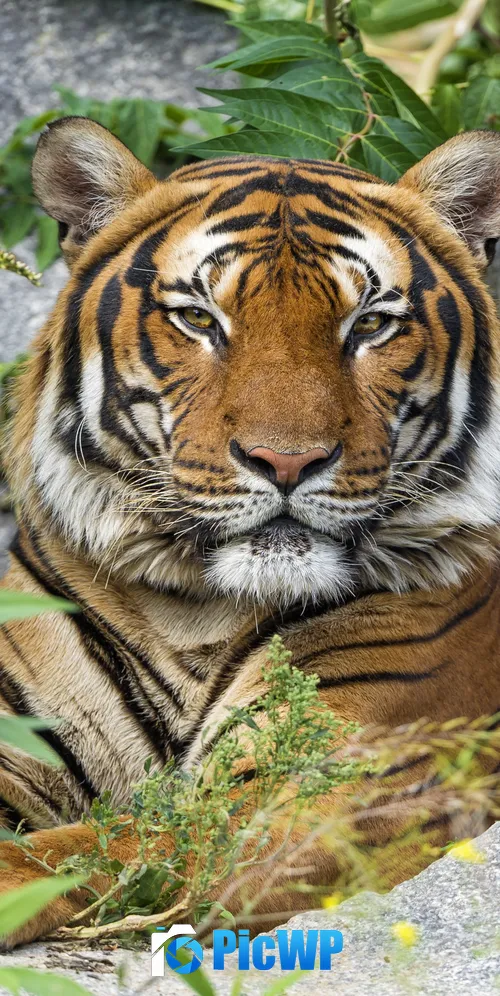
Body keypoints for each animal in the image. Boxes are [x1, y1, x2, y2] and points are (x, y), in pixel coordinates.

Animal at [1, 116, 500, 948]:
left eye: (370, 324)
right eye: (200, 319)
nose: (287, 460)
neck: (192, 614)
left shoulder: (309, 791)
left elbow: (83, 849)